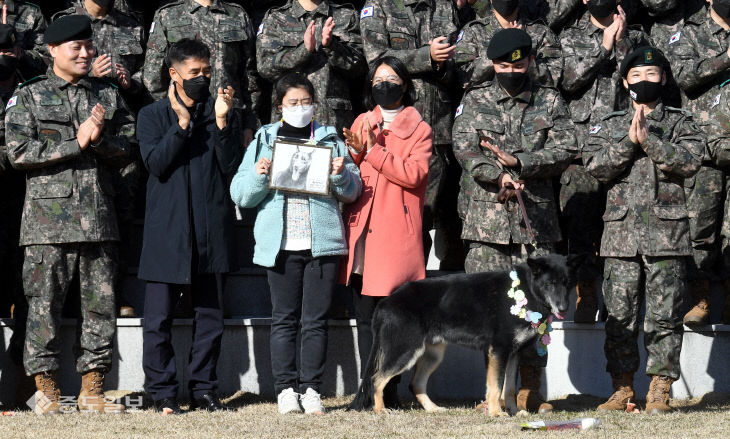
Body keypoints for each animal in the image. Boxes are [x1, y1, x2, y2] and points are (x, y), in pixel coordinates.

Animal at [346, 254, 580, 416]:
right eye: (549, 284)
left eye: (567, 283)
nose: (563, 308)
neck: (528, 288)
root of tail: (385, 303)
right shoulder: (499, 351)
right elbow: (496, 386)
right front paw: (496, 413)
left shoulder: (514, 355)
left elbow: (509, 388)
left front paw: (513, 412)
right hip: (405, 352)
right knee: (377, 379)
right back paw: (380, 410)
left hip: (432, 355)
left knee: (416, 384)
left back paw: (433, 409)